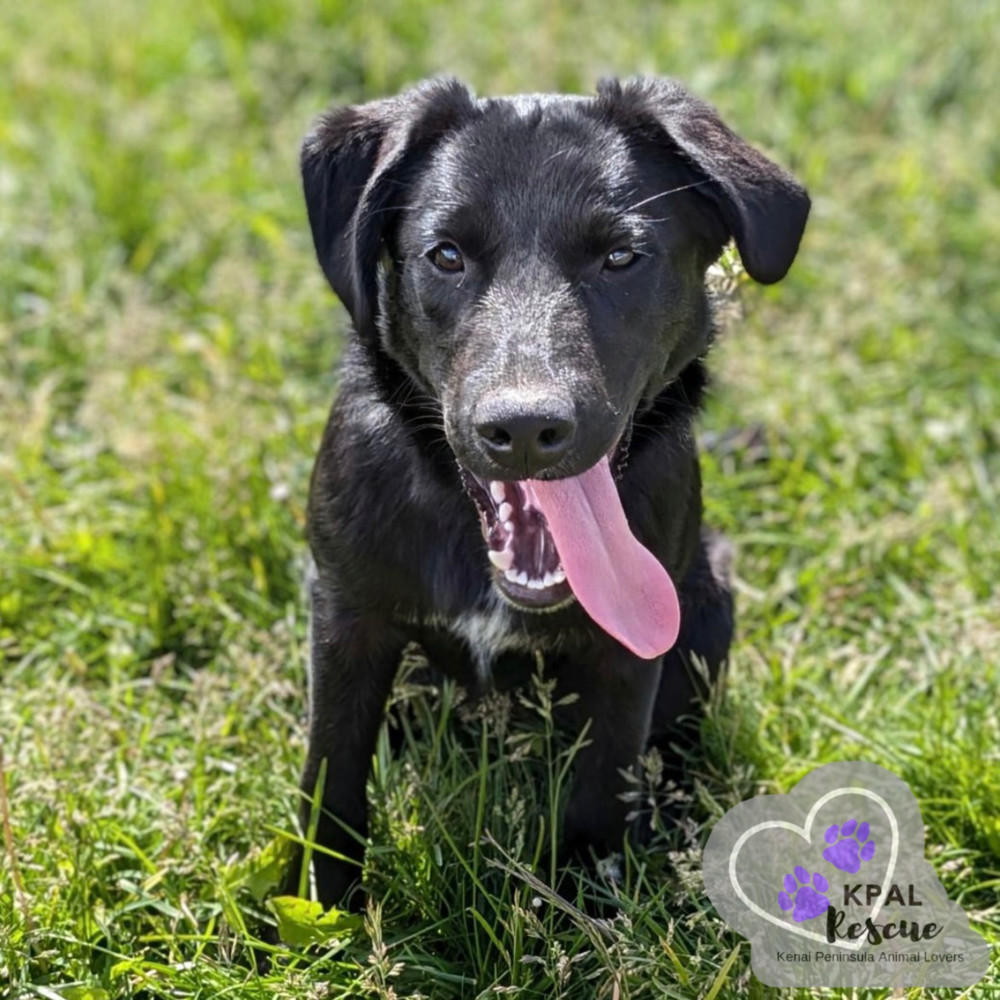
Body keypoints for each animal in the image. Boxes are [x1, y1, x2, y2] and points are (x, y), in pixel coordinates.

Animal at [288, 76, 804, 908]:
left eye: (621, 257)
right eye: (446, 255)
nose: (526, 428)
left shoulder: (628, 656)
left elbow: (601, 795)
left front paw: (589, 910)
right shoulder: (345, 613)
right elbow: (330, 781)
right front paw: (315, 908)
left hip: (708, 598)